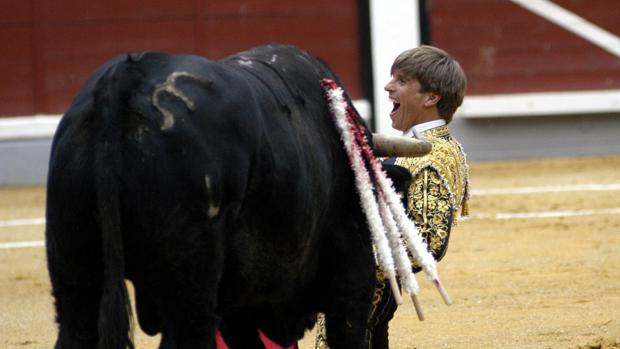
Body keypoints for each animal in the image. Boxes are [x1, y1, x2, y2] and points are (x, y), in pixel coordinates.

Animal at [47, 44, 426, 348]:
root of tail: (124, 82)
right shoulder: (352, 268)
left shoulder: (238, 307)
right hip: (190, 285)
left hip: (74, 268)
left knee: (77, 330)